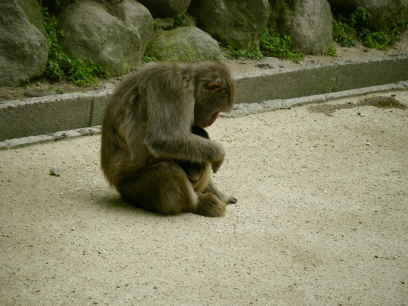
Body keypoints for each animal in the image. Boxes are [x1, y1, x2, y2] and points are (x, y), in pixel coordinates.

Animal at [100, 61, 237, 216]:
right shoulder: (172, 88)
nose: (212, 120)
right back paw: (196, 205)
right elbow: (162, 139)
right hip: (132, 188)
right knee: (167, 169)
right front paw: (219, 153)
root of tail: (116, 184)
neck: (189, 81)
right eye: (217, 112)